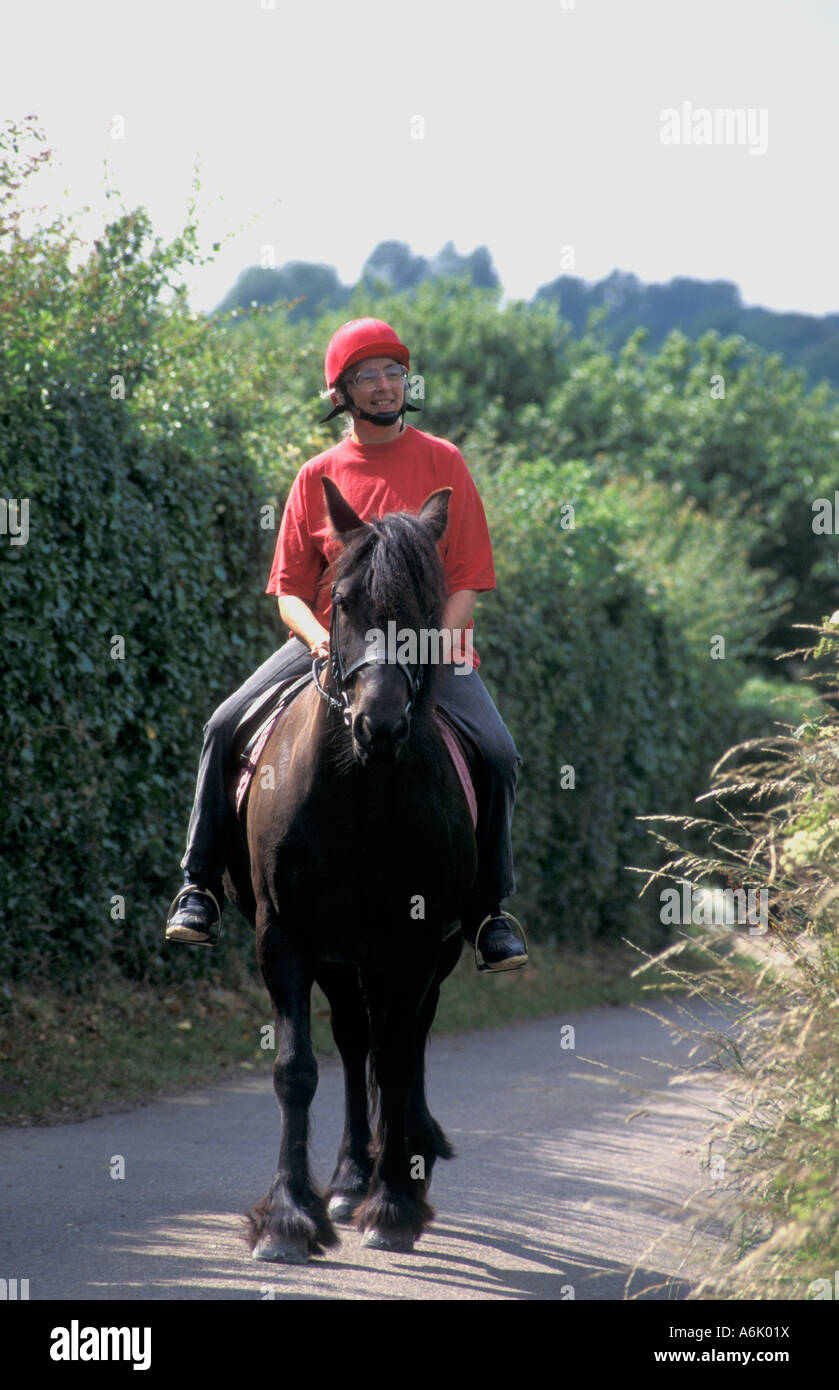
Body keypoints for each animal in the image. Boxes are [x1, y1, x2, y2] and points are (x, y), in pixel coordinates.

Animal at [226, 478, 477, 1262]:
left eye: (427, 607)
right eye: (341, 601)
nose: (380, 725)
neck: (362, 785)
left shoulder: (417, 943)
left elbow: (396, 1062)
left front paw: (392, 1206)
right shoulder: (284, 937)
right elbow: (297, 1069)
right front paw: (287, 1217)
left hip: (428, 952)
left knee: (404, 1042)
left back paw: (401, 1165)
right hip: (342, 955)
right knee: (353, 1037)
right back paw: (344, 1178)